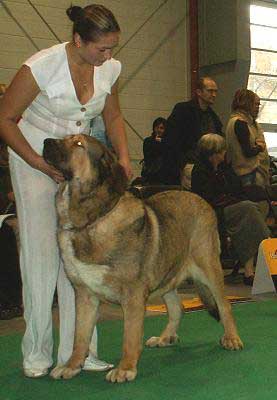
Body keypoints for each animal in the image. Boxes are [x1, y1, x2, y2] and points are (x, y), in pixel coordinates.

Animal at [42, 135, 242, 384]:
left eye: (78, 144)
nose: (46, 142)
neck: (93, 219)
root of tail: (199, 198)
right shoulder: (85, 295)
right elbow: (80, 335)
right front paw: (72, 365)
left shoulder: (133, 295)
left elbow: (129, 335)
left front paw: (125, 368)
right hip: (166, 275)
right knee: (177, 308)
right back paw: (166, 337)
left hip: (209, 267)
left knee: (224, 305)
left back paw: (232, 338)